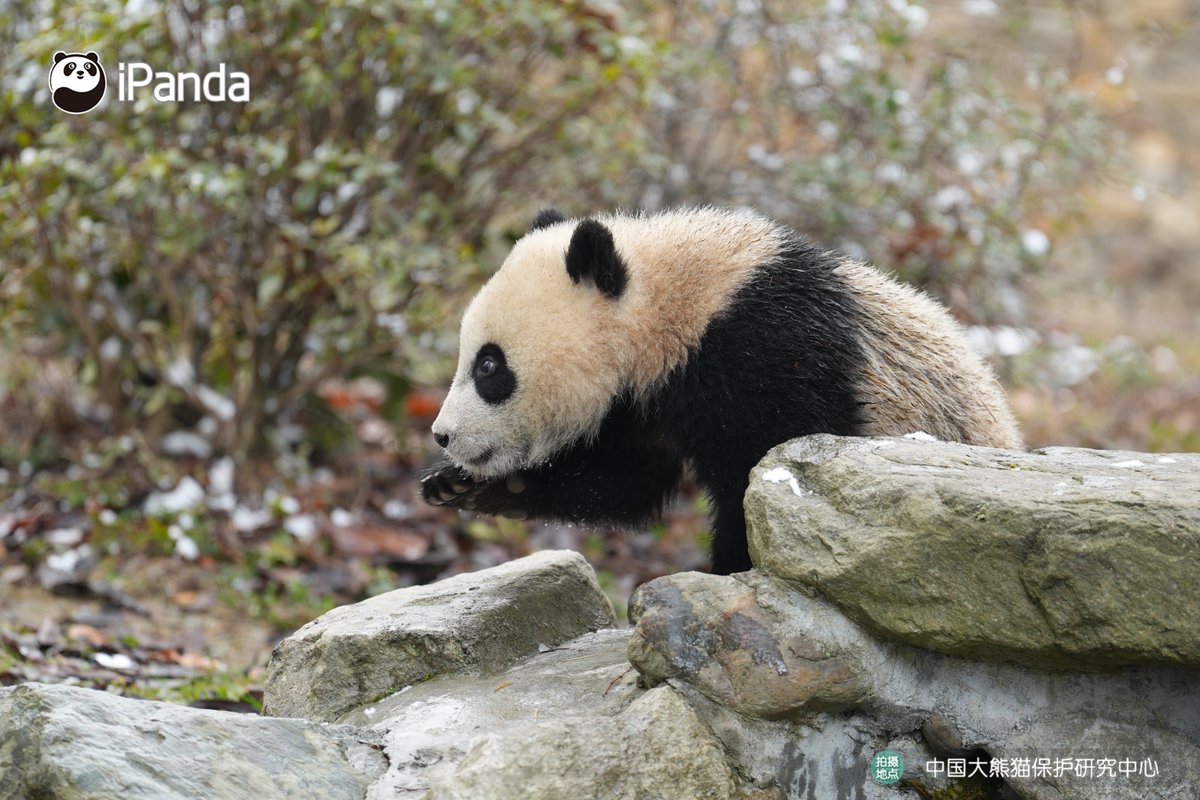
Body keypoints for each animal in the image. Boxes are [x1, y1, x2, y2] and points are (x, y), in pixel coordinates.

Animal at [422, 207, 1022, 574]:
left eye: (489, 366)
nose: (443, 436)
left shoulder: (766, 355)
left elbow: (761, 478)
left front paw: (735, 570)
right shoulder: (644, 399)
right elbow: (629, 478)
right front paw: (463, 488)